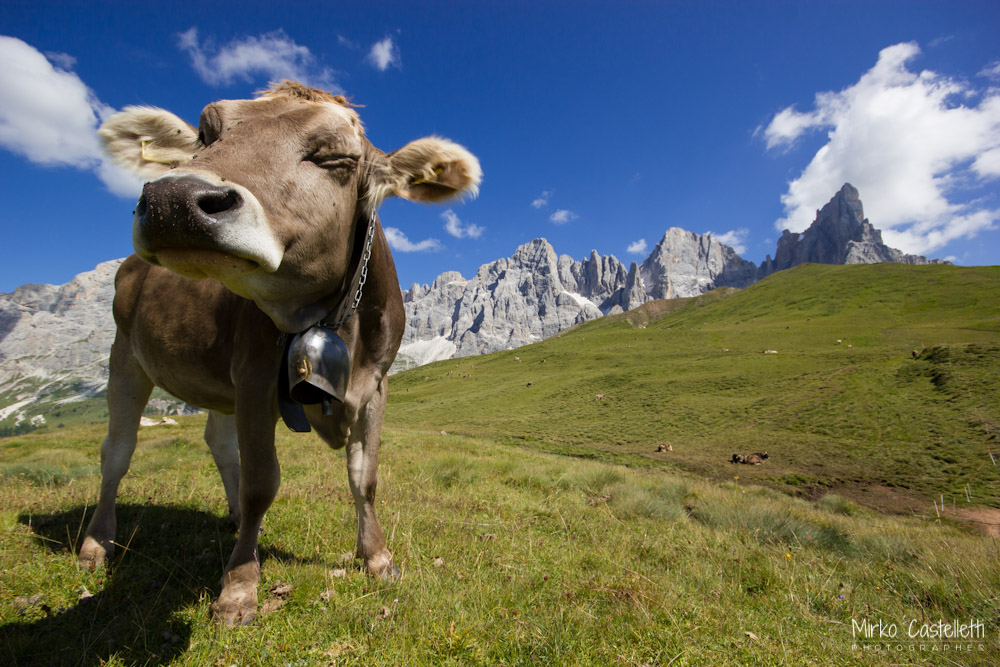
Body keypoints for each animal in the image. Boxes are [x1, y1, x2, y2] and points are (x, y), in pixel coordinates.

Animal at [77, 81, 482, 626]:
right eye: (206, 133)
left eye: (335, 156)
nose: (172, 200)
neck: (335, 322)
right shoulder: (253, 377)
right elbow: (261, 483)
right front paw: (238, 590)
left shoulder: (375, 385)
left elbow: (365, 477)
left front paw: (377, 558)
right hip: (126, 359)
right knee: (116, 453)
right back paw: (97, 543)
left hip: (216, 383)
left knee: (218, 443)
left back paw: (234, 524)